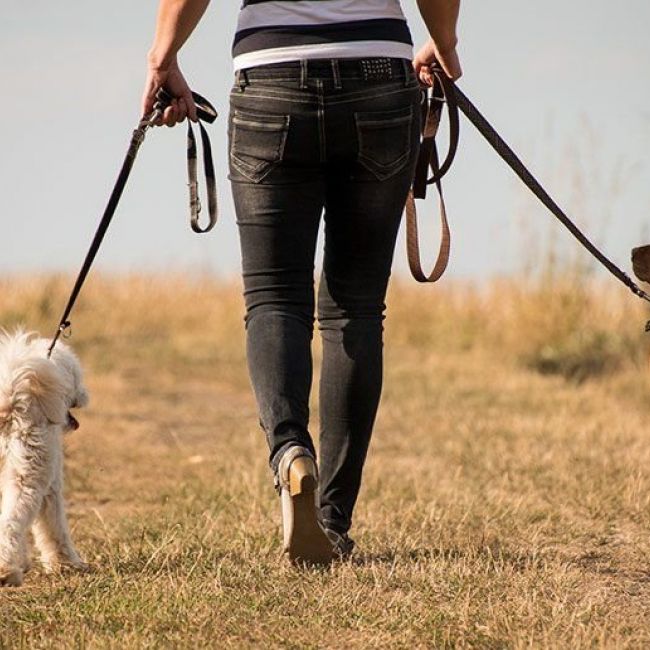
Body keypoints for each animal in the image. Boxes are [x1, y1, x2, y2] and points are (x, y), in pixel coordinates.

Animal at [0, 326, 88, 584]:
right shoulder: (50, 484)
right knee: (10, 523)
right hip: (27, 479)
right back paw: (7, 573)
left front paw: (23, 561)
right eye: (77, 377)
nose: (85, 394)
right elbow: (54, 527)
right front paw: (66, 563)